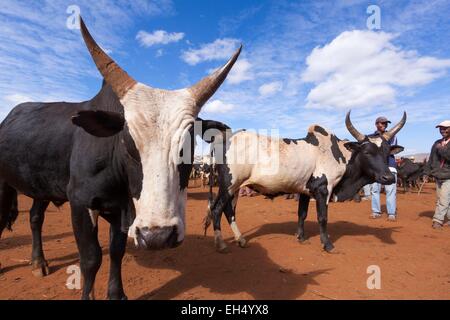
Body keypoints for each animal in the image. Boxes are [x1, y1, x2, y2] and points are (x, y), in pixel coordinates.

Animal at [0, 16, 241, 298]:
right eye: (126, 141)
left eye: (189, 144)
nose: (158, 236)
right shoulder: (80, 203)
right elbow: (91, 259)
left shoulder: (120, 211)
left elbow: (116, 251)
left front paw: (116, 293)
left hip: (42, 189)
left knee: (35, 217)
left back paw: (38, 262)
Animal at [202, 111, 406, 254]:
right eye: (366, 152)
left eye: (387, 152)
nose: (388, 178)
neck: (339, 155)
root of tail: (224, 137)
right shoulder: (323, 190)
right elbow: (322, 218)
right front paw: (328, 245)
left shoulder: (305, 191)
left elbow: (302, 214)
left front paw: (300, 237)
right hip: (229, 185)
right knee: (217, 209)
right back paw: (221, 244)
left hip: (235, 188)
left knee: (228, 211)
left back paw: (241, 240)